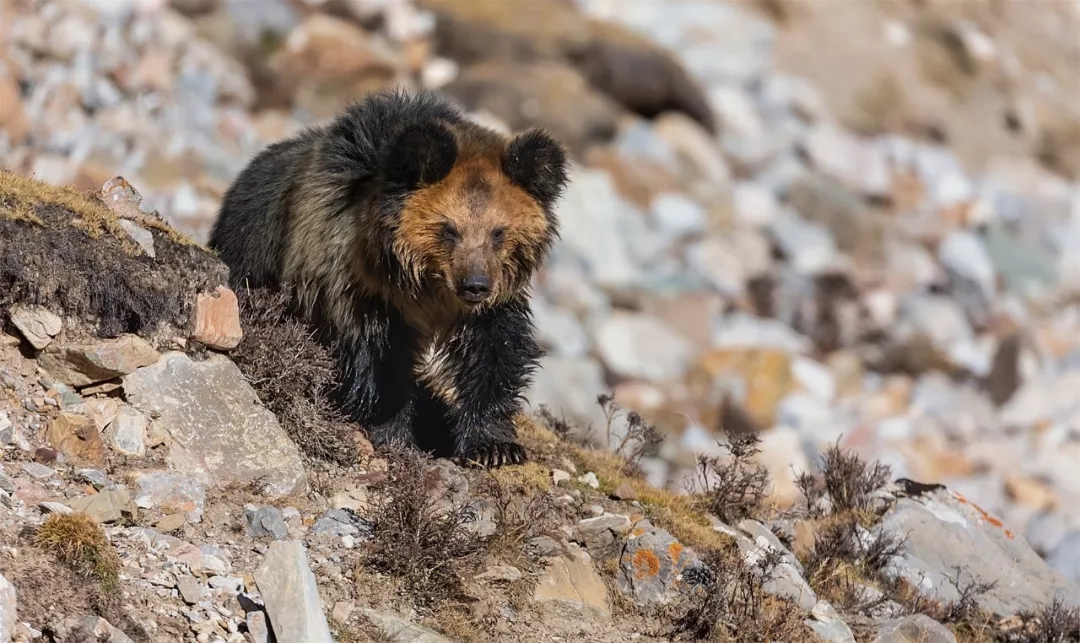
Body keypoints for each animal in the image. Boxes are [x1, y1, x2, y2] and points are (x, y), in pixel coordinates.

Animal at [205, 88, 570, 469]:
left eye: (498, 232)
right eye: (449, 229)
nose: (475, 285)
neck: (425, 286)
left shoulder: (491, 306)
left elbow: (495, 354)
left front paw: (494, 446)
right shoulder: (359, 288)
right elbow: (380, 363)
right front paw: (396, 436)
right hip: (254, 249)